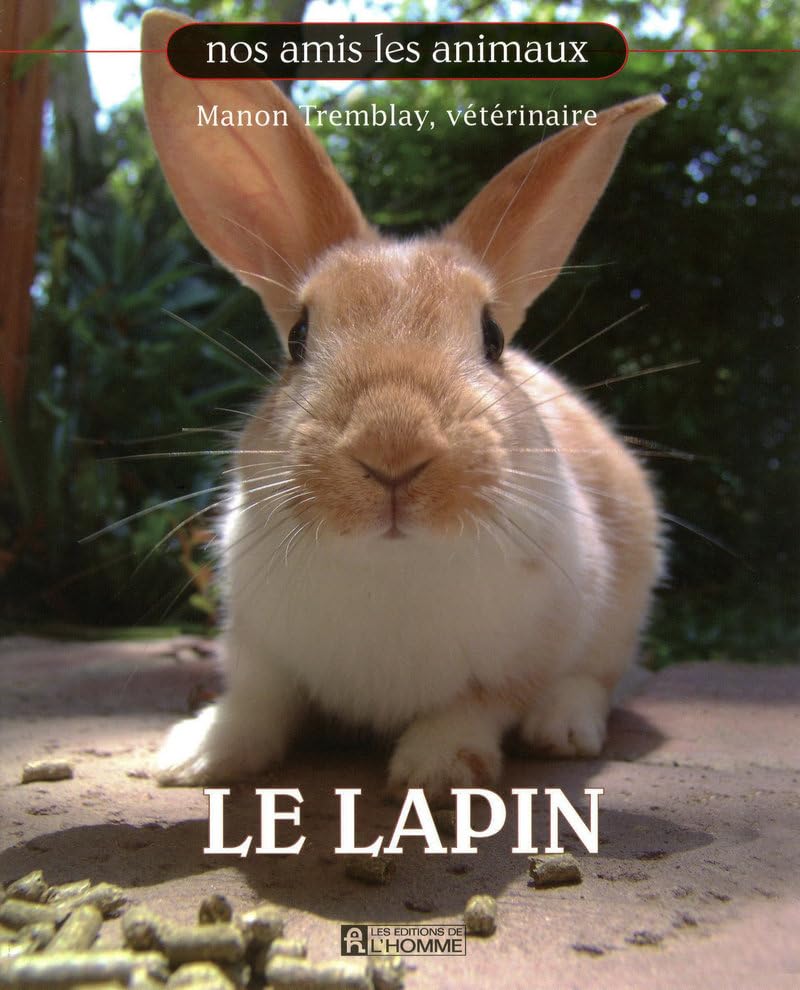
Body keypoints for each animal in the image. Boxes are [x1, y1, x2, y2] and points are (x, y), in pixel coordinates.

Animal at [142, 10, 665, 801]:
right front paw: (193, 757)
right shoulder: (261, 650)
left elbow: (477, 704)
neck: (391, 567)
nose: (393, 449)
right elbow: (258, 704)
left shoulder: (526, 651)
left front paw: (439, 772)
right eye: (298, 336)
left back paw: (564, 728)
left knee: (597, 680)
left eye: (492, 338)